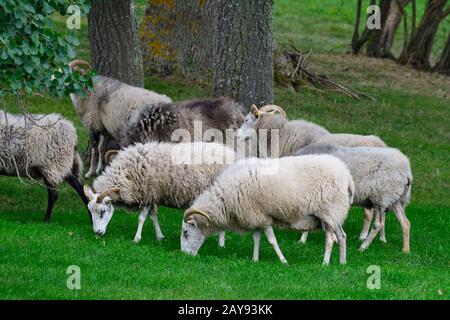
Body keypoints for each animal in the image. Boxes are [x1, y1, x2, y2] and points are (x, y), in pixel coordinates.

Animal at [82, 141, 236, 244]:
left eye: (102, 212)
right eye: (90, 211)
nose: (97, 233)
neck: (127, 175)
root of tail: (231, 153)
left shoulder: (147, 193)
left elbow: (141, 218)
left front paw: (136, 238)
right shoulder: (152, 195)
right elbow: (153, 216)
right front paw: (160, 236)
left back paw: (221, 243)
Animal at [181, 155, 354, 264]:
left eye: (186, 232)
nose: (184, 256)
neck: (225, 200)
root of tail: (347, 177)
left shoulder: (262, 218)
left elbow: (272, 241)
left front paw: (283, 261)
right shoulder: (255, 217)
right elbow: (256, 238)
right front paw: (255, 260)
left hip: (329, 211)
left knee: (330, 239)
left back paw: (325, 263)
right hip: (335, 214)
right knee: (342, 236)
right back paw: (342, 263)